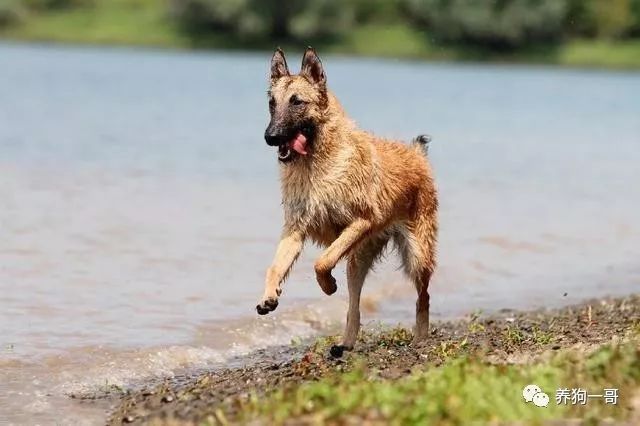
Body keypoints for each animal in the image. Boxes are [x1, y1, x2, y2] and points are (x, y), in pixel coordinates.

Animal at [255, 46, 440, 356]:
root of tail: (417, 155)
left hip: (416, 254)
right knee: (355, 306)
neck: (317, 161)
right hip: (358, 260)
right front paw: (269, 296)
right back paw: (346, 343)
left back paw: (420, 338)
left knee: (423, 296)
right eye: (272, 103)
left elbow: (322, 262)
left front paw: (328, 286)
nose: (271, 137)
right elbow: (275, 266)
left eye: (297, 102)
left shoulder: (361, 221)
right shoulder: (294, 231)